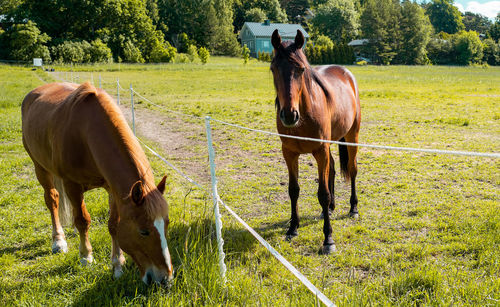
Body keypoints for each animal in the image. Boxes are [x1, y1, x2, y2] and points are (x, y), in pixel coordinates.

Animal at [22, 81, 174, 284]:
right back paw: (58, 241)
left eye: (166, 224)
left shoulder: (114, 190)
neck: (85, 134)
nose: (166, 279)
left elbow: (114, 225)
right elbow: (82, 220)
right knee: (52, 200)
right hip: (40, 168)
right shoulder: (72, 185)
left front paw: (117, 264)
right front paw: (86, 256)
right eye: (143, 231)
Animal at [272, 29, 362, 255]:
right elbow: (293, 190)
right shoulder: (289, 153)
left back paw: (353, 208)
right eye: (273, 69)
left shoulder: (320, 151)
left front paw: (328, 239)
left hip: (352, 137)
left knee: (352, 169)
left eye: (301, 69)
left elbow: (323, 193)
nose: (289, 115)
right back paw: (328, 210)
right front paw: (292, 228)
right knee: (332, 171)